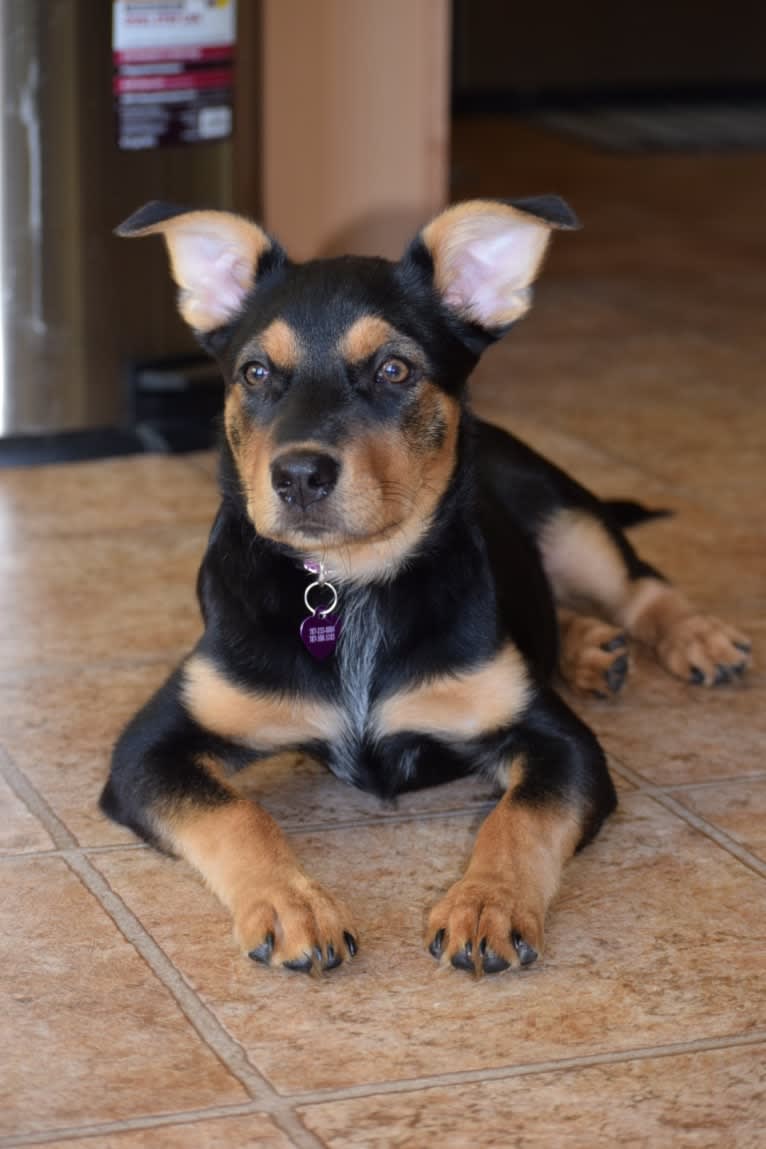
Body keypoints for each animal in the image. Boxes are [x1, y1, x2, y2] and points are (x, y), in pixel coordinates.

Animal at [100, 197, 748, 978]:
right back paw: (592, 646)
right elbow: (236, 814)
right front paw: (292, 907)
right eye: (255, 372)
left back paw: (696, 639)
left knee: (640, 585)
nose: (298, 476)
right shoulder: (153, 743)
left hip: (562, 512)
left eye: (394, 368)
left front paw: (486, 906)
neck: (350, 582)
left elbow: (520, 818)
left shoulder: (559, 740)